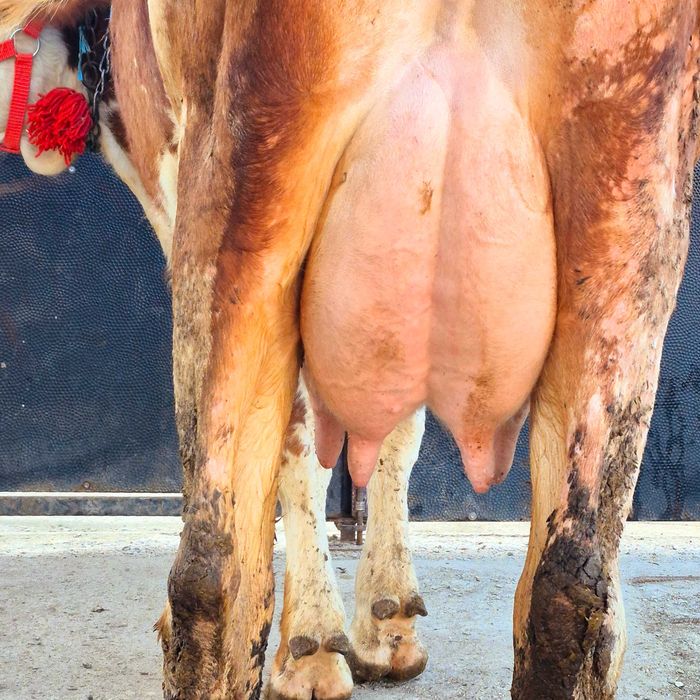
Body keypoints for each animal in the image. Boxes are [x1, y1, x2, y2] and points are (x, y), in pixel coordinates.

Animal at [2, 2, 699, 700]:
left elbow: (303, 455)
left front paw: (315, 651)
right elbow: (395, 432)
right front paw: (386, 627)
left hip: (234, 189)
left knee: (214, 577)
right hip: (629, 211)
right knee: (569, 585)